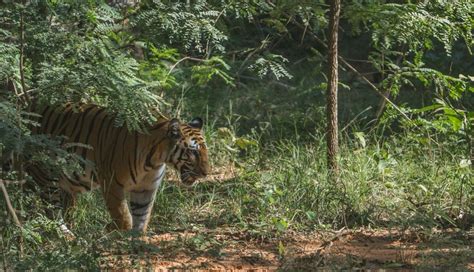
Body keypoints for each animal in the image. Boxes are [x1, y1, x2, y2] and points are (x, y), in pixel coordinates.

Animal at [25, 103, 210, 233]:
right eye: (193, 152)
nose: (206, 173)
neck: (154, 161)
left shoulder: (146, 188)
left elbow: (142, 217)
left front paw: (138, 242)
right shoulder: (113, 184)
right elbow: (124, 217)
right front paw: (116, 232)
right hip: (46, 177)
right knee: (52, 212)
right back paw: (68, 237)